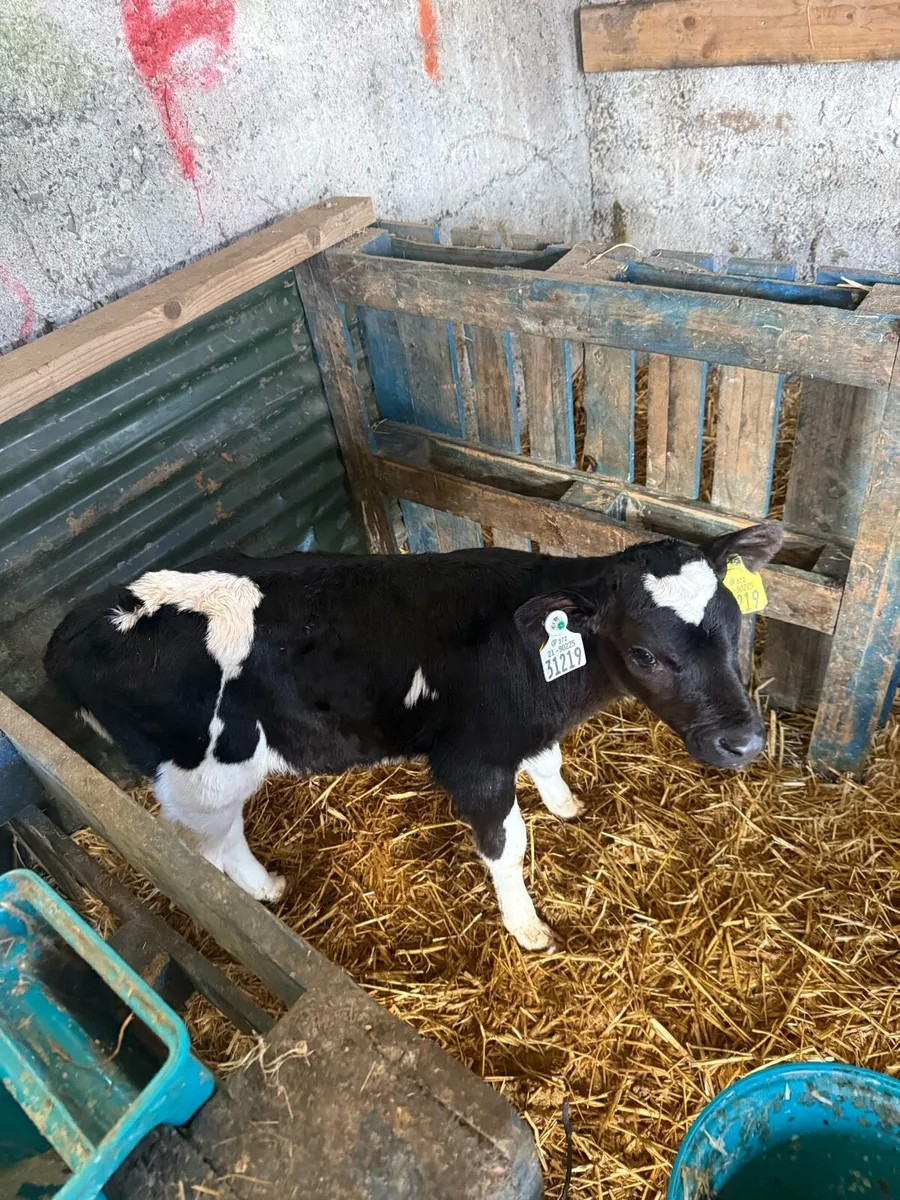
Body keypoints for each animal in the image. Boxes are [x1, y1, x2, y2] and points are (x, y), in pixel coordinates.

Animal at [44, 521, 782, 953]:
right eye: (646, 654)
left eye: (734, 624)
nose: (744, 742)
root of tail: (79, 622)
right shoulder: (472, 760)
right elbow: (507, 846)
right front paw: (527, 928)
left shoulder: (524, 727)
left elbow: (547, 761)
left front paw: (567, 805)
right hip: (205, 775)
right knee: (214, 843)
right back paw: (266, 889)